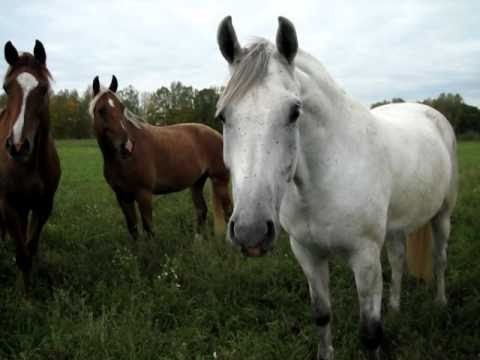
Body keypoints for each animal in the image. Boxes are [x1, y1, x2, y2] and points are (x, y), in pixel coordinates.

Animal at [89, 75, 232, 240]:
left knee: (228, 211)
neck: (122, 161)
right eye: (101, 110)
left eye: (122, 108)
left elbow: (148, 228)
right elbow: (133, 229)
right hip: (197, 183)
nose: (127, 146)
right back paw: (198, 240)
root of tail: (217, 135)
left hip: (220, 181)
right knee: (201, 209)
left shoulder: (143, 194)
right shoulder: (122, 197)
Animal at [217, 15, 458, 358]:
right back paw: (396, 307)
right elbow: (322, 315)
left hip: (443, 215)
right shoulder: (307, 254)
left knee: (439, 258)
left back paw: (439, 303)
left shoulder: (365, 258)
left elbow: (370, 333)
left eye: (294, 112)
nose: (251, 232)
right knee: (399, 260)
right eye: (223, 115)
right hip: (396, 227)